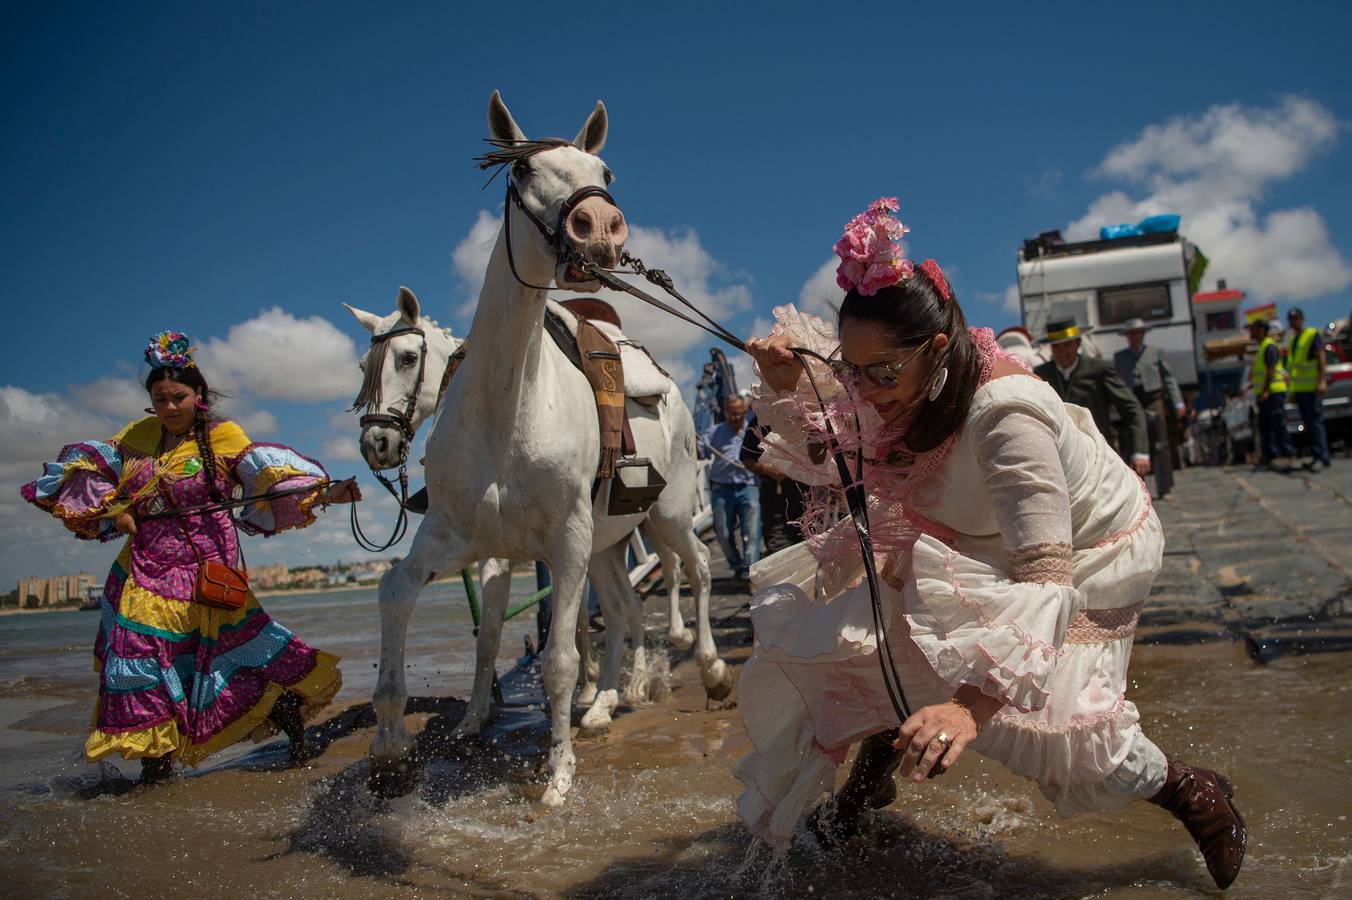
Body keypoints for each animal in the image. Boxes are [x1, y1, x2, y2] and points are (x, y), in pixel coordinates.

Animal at [365, 91, 730, 800]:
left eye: (605, 171)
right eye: (521, 171)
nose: (601, 226)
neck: (508, 406)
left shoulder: (566, 537)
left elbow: (560, 656)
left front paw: (557, 772)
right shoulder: (461, 537)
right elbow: (402, 596)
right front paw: (396, 745)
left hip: (667, 516)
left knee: (696, 569)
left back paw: (709, 667)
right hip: (610, 543)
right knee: (620, 606)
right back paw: (605, 703)